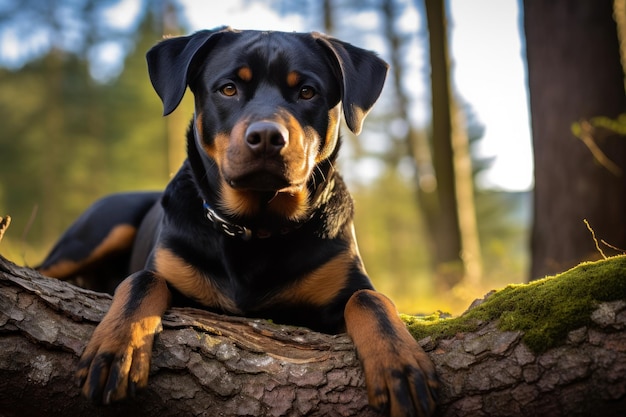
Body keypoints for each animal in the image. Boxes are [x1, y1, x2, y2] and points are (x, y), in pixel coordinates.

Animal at [37, 27, 438, 414]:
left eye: (307, 92)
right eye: (228, 88)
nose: (267, 136)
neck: (257, 228)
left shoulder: (341, 288)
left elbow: (371, 300)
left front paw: (399, 365)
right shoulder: (169, 270)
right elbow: (142, 281)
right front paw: (119, 348)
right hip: (98, 230)